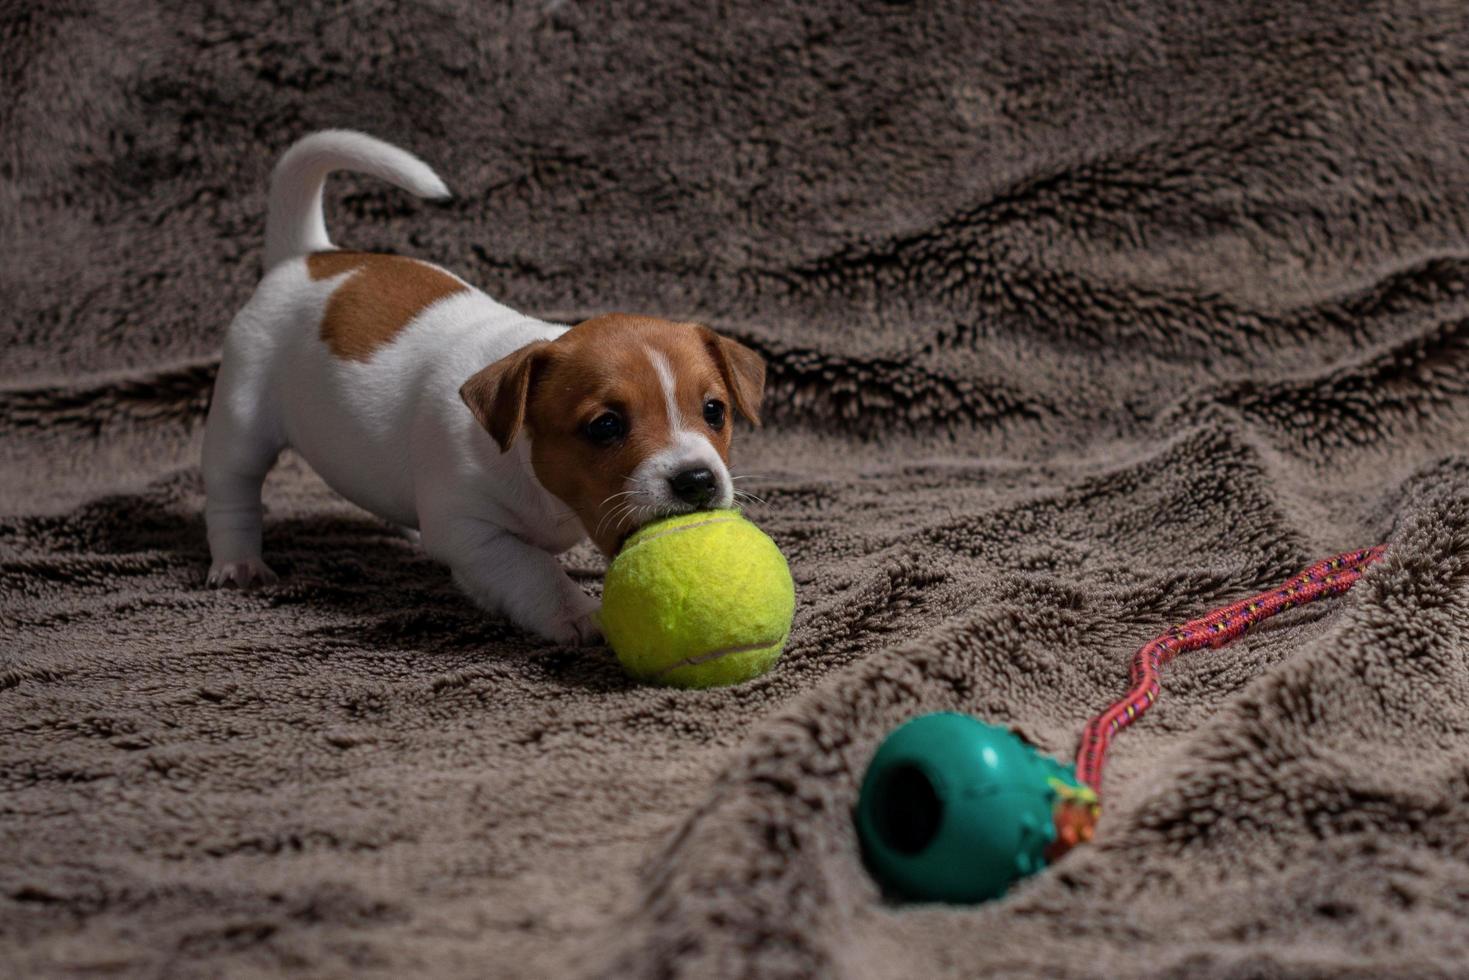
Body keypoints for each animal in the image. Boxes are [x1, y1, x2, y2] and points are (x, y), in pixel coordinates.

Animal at [204, 132, 769, 643]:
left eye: (715, 411)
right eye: (605, 426)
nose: (696, 480)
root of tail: (308, 256)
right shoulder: (473, 532)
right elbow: (531, 569)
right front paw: (575, 613)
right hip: (243, 415)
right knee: (233, 490)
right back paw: (239, 562)